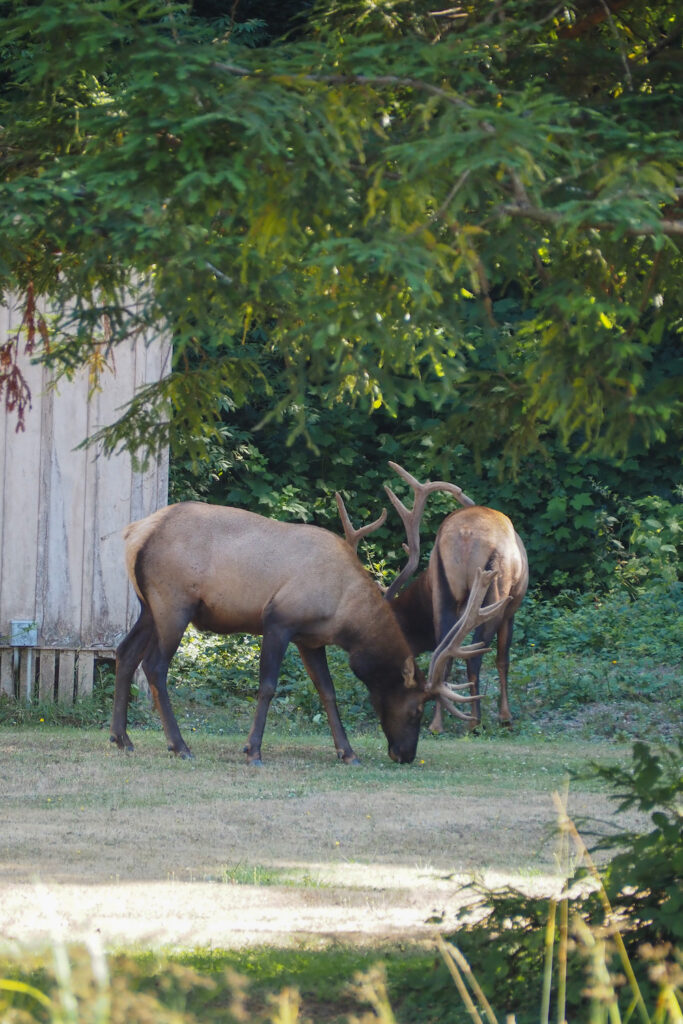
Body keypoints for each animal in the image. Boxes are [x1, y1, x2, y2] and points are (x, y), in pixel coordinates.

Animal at [110, 498, 505, 766]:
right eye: (416, 710)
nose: (405, 755)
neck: (343, 612)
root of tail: (134, 534)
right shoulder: (278, 620)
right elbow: (268, 686)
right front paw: (253, 750)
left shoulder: (310, 639)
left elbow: (327, 691)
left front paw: (347, 752)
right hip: (174, 604)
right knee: (155, 666)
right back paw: (179, 746)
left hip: (148, 606)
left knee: (124, 653)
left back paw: (121, 738)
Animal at [337, 463, 528, 732]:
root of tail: (466, 534)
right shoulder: (512, 609)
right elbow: (503, 659)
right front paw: (505, 716)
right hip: (496, 593)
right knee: (475, 654)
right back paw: (474, 721)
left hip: (444, 588)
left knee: (444, 650)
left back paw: (438, 723)